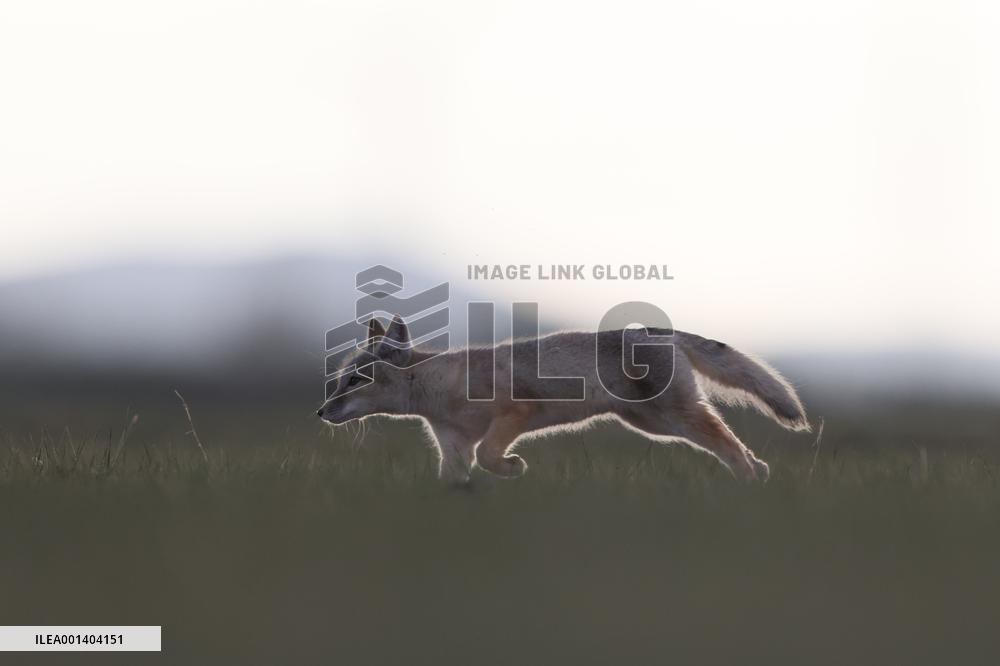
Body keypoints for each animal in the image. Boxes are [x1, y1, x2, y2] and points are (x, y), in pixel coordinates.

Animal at [318, 315, 810, 484]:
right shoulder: (453, 445)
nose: (320, 413)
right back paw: (758, 477)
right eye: (339, 381)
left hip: (673, 419)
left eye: (355, 380)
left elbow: (492, 457)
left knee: (726, 440)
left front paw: (514, 468)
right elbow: (456, 477)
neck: (441, 388)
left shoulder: (515, 413)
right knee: (731, 443)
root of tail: (655, 329)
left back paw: (750, 479)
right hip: (655, 425)